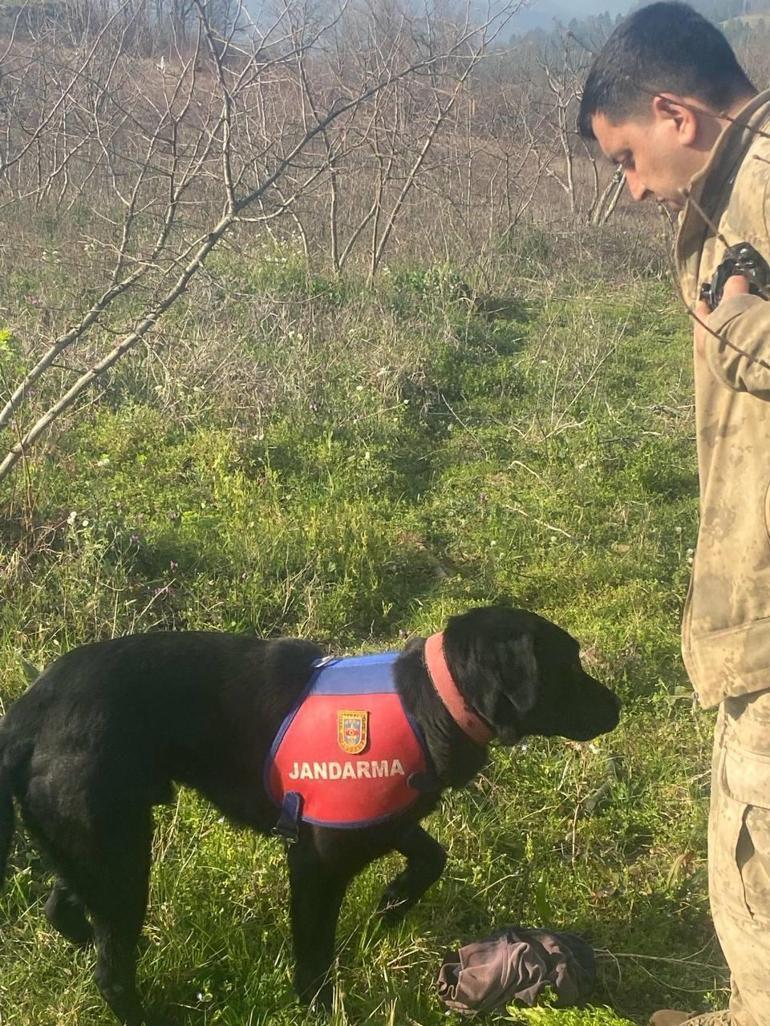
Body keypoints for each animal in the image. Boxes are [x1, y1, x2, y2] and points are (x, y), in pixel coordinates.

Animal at [0, 603, 620, 1021]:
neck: (430, 702)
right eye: (569, 667)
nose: (617, 707)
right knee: (111, 974)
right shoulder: (317, 862)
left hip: (98, 845)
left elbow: (431, 857)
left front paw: (392, 905)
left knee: (66, 909)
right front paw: (320, 1005)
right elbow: (315, 954)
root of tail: (26, 714)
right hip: (121, 852)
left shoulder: (379, 820)